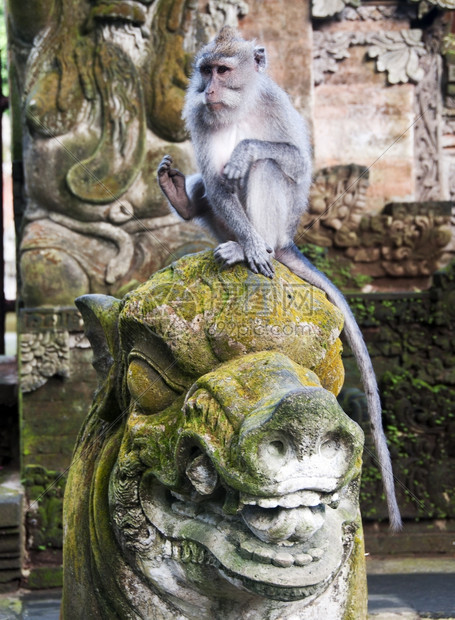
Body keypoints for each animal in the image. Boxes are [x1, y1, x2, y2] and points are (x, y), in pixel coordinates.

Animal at [158, 26, 402, 532]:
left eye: (223, 70)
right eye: (205, 71)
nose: (208, 89)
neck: (239, 104)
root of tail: (288, 239)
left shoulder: (276, 102)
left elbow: (292, 162)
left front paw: (247, 150)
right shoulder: (198, 115)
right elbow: (217, 182)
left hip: (282, 222)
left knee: (268, 167)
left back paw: (259, 243)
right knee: (215, 190)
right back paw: (210, 220)